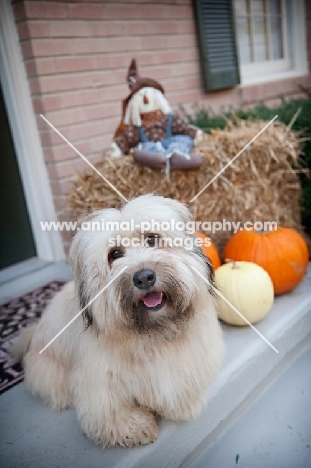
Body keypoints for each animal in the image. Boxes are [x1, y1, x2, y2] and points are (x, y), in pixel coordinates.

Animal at [14, 196, 224, 448]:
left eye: (152, 239)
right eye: (114, 254)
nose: (144, 277)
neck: (152, 334)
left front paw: (184, 406)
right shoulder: (100, 382)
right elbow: (113, 411)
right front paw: (136, 427)